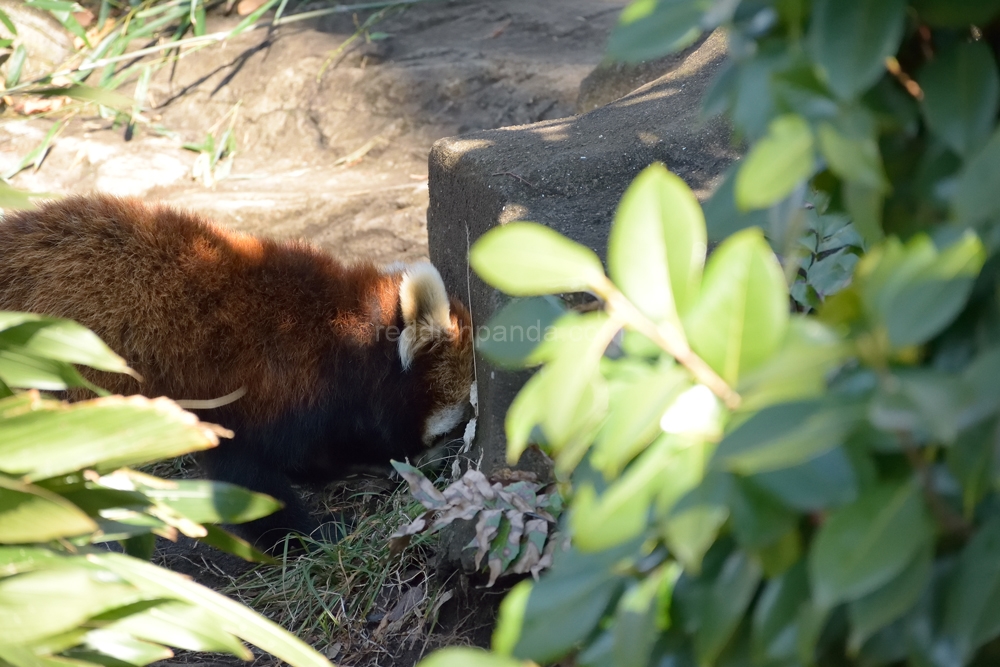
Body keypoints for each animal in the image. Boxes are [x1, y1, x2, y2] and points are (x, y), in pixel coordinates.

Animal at [0, 194, 474, 548]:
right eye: (455, 425)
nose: (446, 467)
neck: (341, 336)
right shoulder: (263, 390)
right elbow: (250, 479)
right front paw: (311, 537)